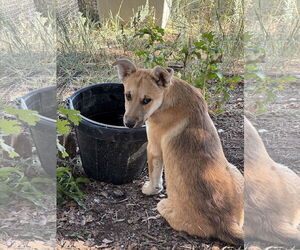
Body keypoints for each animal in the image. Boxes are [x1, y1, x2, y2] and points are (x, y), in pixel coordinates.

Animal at [113, 60, 245, 244]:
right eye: (128, 96)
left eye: (146, 100)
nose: (129, 124)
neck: (167, 95)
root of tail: (225, 223)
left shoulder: (153, 148)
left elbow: (155, 176)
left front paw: (150, 189)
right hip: (235, 170)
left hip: (162, 205)